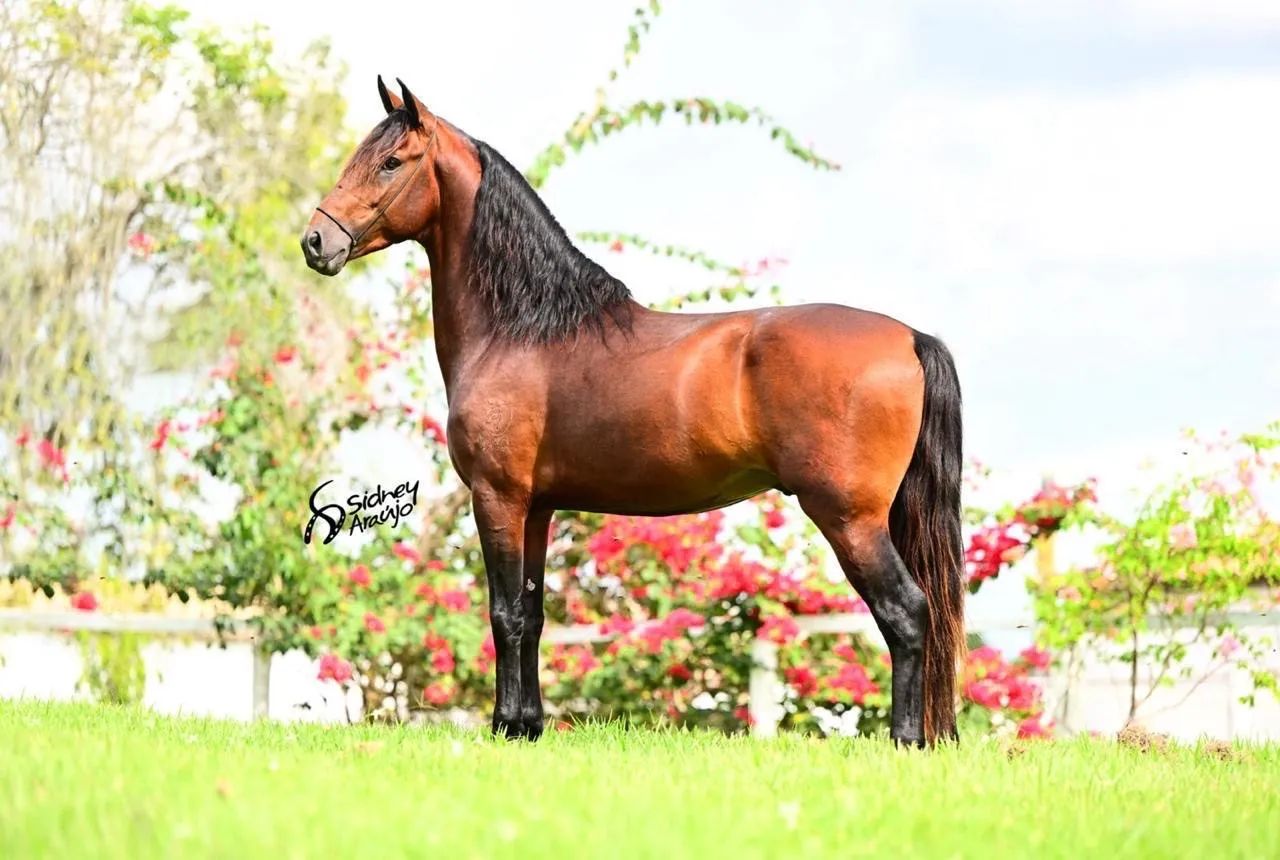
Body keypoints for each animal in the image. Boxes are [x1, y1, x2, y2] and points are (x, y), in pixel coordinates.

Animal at [302, 77, 965, 747]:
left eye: (392, 162)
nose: (316, 242)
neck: (521, 330)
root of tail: (910, 338)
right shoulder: (536, 507)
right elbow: (533, 614)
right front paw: (530, 726)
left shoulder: (497, 497)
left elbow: (504, 612)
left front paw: (505, 728)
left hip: (850, 518)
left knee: (906, 613)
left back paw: (906, 740)